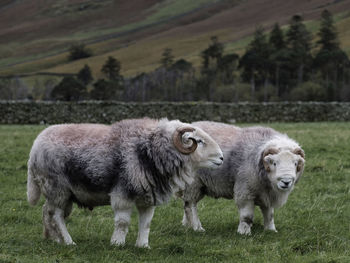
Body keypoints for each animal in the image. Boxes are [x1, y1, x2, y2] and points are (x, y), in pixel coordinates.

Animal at [27, 118, 224, 249]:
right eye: (198, 141)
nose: (222, 157)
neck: (149, 149)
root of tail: (35, 147)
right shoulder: (122, 193)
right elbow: (122, 222)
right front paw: (117, 244)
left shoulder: (148, 197)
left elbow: (146, 223)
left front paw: (143, 245)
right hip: (57, 188)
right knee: (56, 215)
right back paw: (68, 242)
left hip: (61, 193)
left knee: (47, 211)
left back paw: (54, 239)